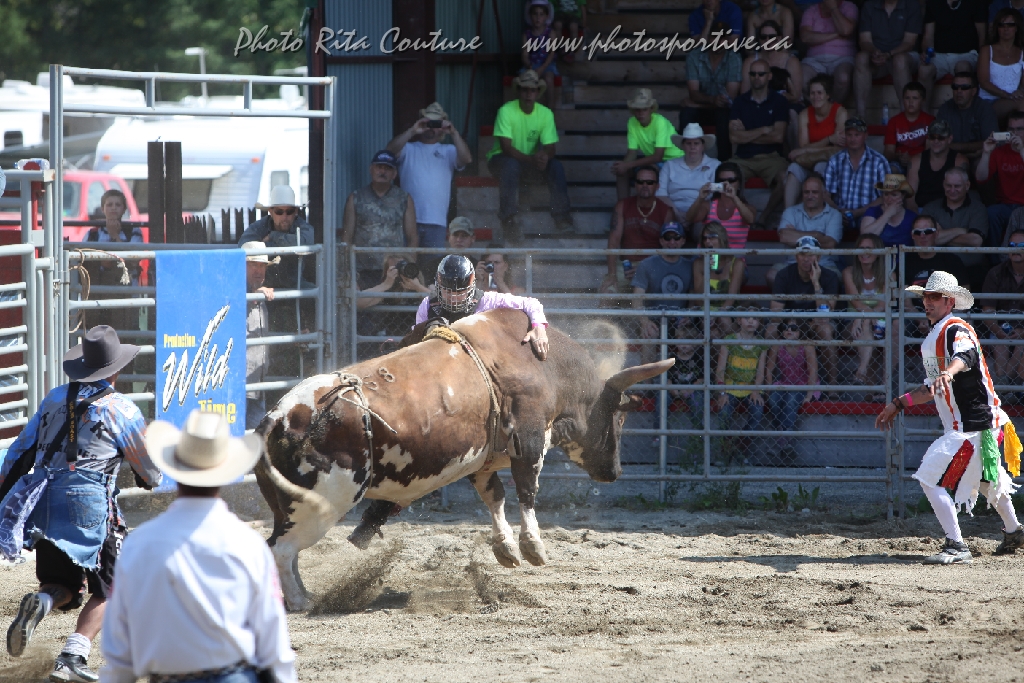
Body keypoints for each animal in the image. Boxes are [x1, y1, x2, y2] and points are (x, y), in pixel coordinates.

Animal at [254, 308, 672, 611]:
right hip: (321, 504)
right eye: (620, 417)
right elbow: (526, 491)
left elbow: (494, 497)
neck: (543, 365)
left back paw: (303, 596)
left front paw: (505, 549)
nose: (614, 472)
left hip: (291, 507)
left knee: (279, 548)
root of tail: (278, 417)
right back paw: (300, 602)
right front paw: (532, 546)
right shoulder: (529, 440)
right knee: (282, 550)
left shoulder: (482, 461)